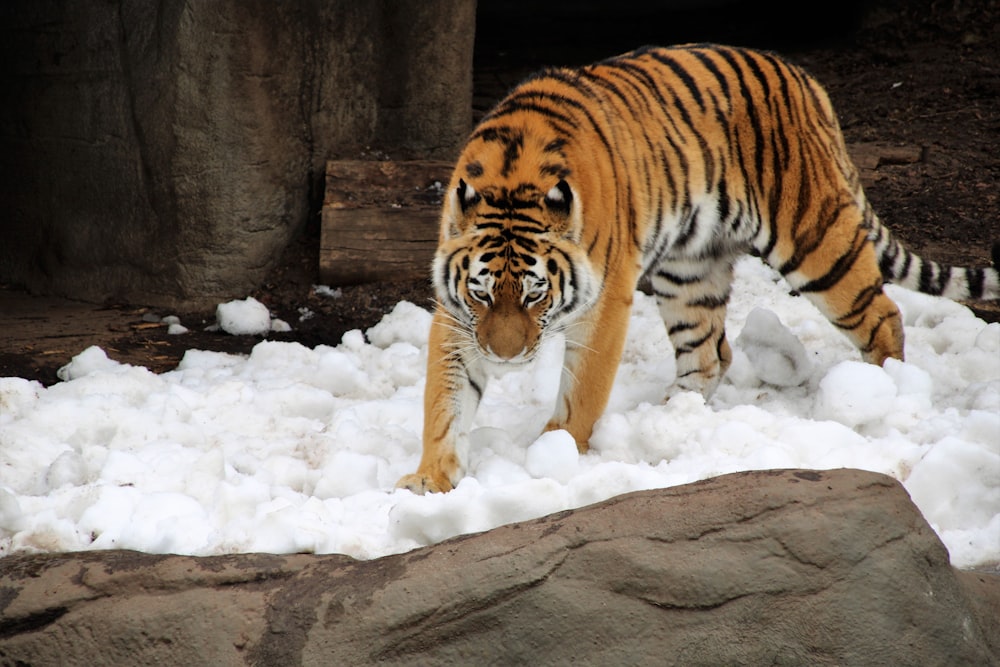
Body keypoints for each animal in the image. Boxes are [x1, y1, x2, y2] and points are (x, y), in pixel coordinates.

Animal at [394, 44, 996, 496]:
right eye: (483, 295)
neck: (512, 175)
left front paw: (554, 451)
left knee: (882, 315)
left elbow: (582, 390)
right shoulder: (456, 314)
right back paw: (669, 419)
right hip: (689, 270)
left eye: (536, 294)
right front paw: (429, 480)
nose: (506, 357)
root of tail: (805, 80)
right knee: (709, 354)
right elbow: (445, 400)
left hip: (815, 242)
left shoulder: (605, 300)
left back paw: (889, 388)